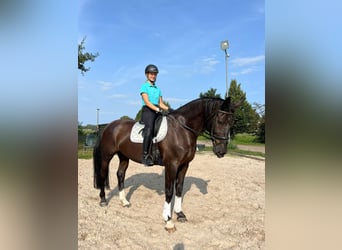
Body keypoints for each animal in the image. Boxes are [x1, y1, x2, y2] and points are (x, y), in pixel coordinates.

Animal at [93, 96, 242, 232]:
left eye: (231, 122)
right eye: (220, 119)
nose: (221, 151)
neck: (182, 130)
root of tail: (108, 126)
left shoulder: (184, 165)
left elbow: (179, 188)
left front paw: (180, 214)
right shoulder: (172, 165)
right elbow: (169, 191)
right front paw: (168, 220)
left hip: (124, 156)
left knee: (120, 174)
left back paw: (124, 201)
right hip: (107, 156)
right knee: (102, 174)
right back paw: (103, 200)